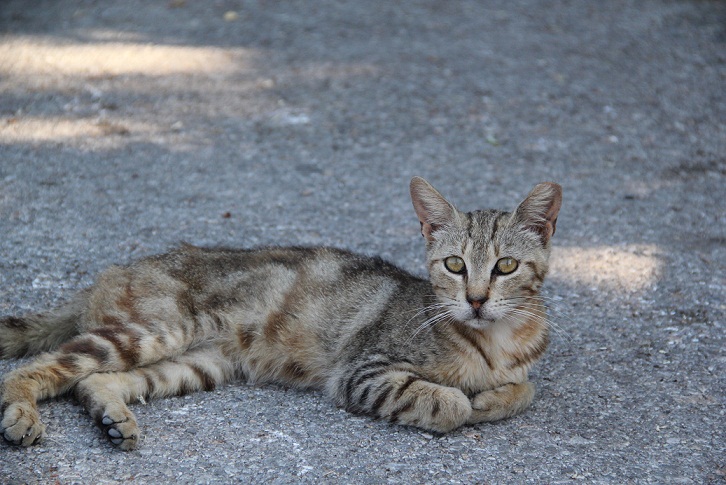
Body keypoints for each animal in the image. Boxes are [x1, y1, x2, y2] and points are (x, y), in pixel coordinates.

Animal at [0, 177, 564, 450]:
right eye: (454, 264)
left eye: (506, 266)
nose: (476, 299)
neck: (495, 341)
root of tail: (111, 271)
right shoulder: (363, 372)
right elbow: (449, 404)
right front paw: (469, 401)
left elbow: (526, 389)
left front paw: (494, 397)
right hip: (161, 330)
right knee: (40, 368)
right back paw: (22, 414)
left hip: (199, 364)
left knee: (93, 382)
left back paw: (114, 418)